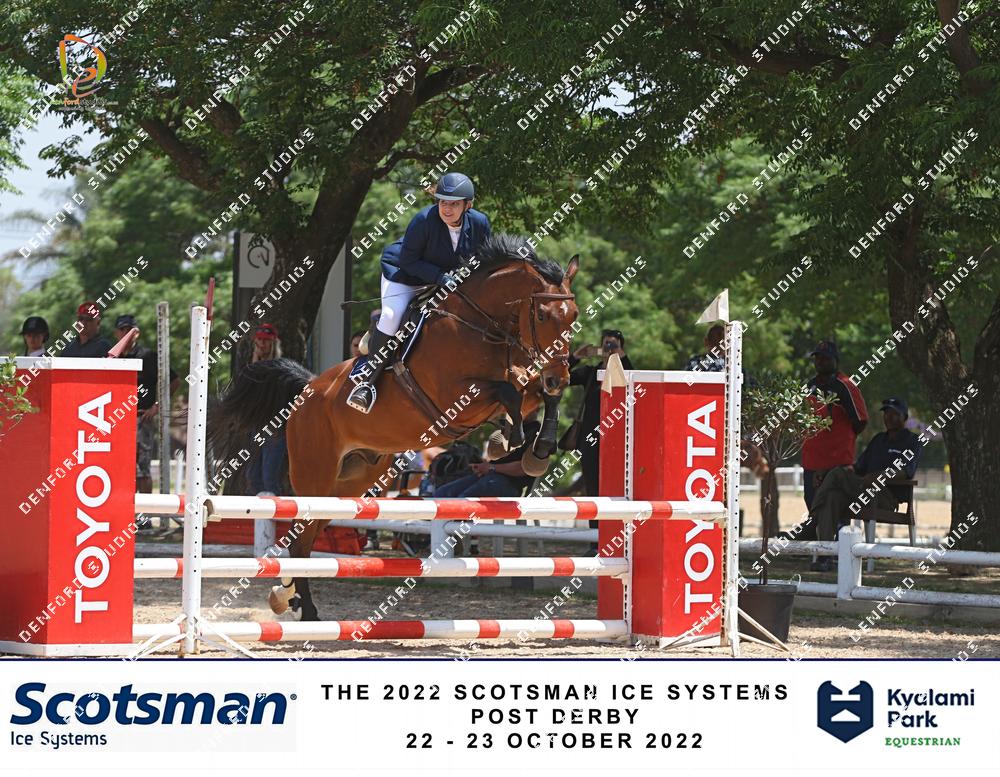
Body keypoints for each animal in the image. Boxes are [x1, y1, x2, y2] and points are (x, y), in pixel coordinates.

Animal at [210, 233, 580, 620]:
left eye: (574, 316)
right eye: (542, 314)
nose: (560, 374)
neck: (482, 326)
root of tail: (307, 389)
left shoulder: (521, 380)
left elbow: (536, 393)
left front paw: (535, 448)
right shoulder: (456, 398)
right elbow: (508, 392)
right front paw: (510, 438)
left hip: (353, 481)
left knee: (307, 538)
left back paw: (291, 599)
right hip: (316, 475)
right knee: (300, 536)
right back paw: (301, 607)